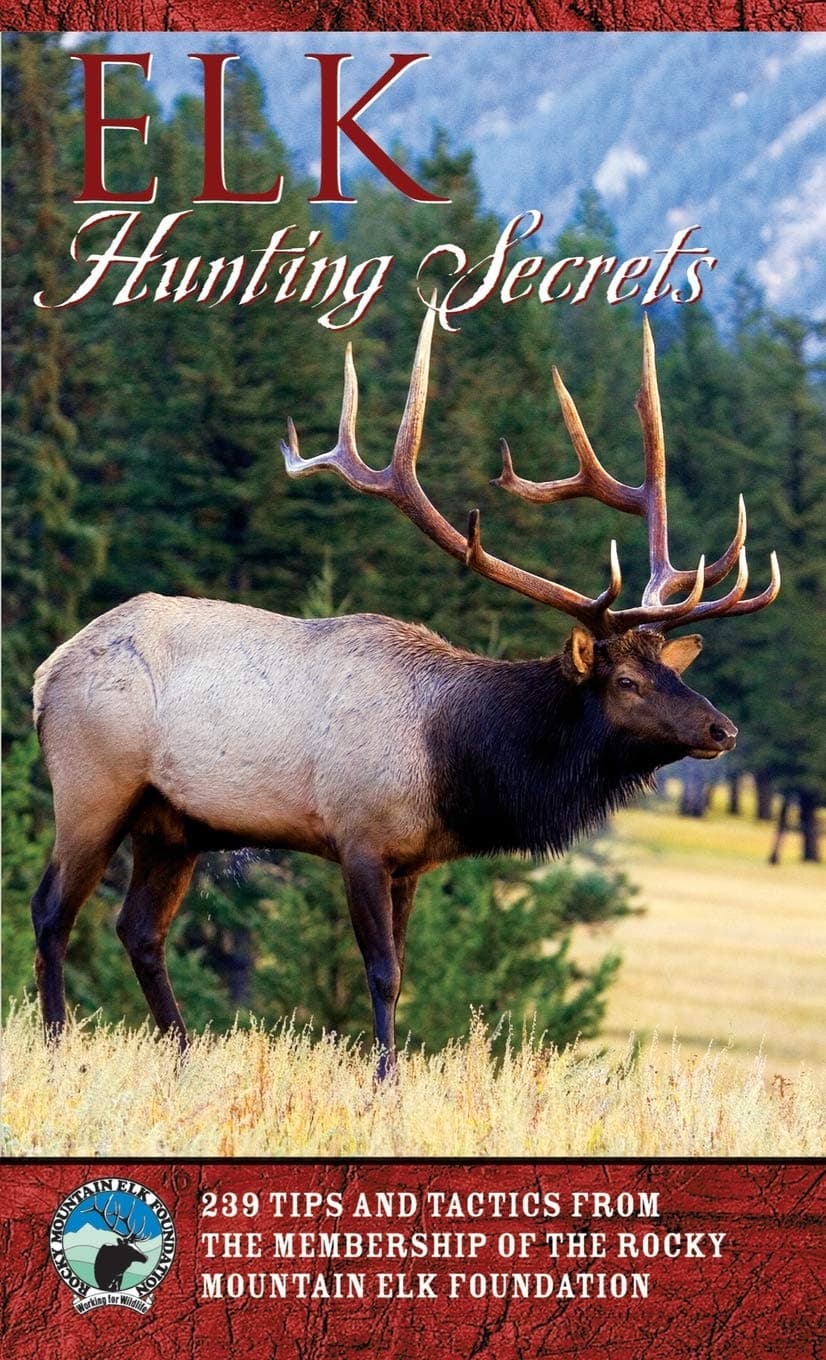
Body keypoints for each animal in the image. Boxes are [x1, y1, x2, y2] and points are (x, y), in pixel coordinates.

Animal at [31, 312, 779, 1078]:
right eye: (626, 682)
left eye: (673, 672)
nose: (722, 730)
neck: (456, 761)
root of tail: (47, 671)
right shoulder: (359, 834)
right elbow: (383, 971)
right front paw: (383, 1078)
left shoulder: (412, 859)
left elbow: (406, 968)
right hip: (94, 786)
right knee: (53, 910)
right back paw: (58, 1045)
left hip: (174, 824)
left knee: (139, 929)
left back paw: (184, 1055)